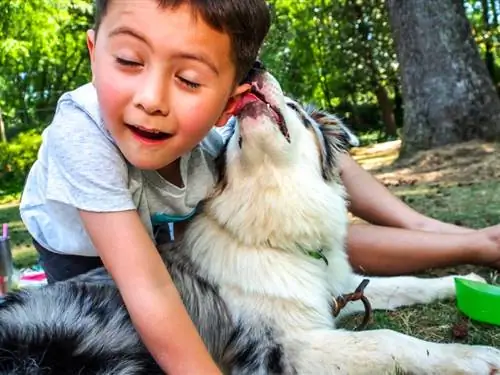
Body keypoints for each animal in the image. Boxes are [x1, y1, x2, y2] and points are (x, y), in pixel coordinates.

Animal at [0, 71, 500, 375]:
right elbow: (389, 340)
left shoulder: (335, 288)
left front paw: (464, 280)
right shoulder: (289, 348)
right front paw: (474, 355)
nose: (255, 68)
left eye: (294, 108)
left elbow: (399, 284)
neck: (271, 223)